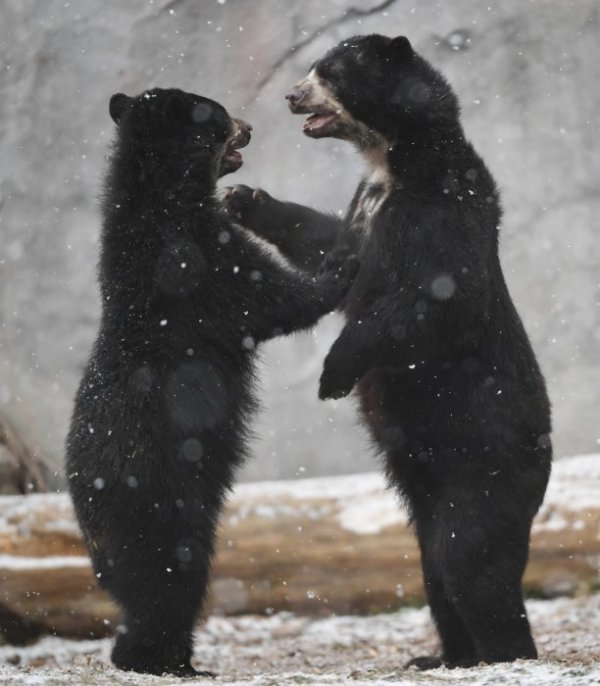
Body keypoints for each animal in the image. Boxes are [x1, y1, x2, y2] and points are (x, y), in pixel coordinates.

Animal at [65, 88, 356, 680]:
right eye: (219, 114)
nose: (249, 126)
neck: (164, 196)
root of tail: (86, 508)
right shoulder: (196, 263)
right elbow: (271, 298)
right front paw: (341, 259)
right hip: (159, 501)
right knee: (170, 581)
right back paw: (162, 661)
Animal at [223, 35, 552, 668]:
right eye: (312, 70)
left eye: (328, 72)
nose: (291, 96)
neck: (392, 158)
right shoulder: (364, 203)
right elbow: (326, 241)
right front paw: (244, 198)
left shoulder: (438, 206)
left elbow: (442, 298)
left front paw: (332, 373)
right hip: (424, 484)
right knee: (433, 568)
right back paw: (443, 656)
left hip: (487, 464)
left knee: (468, 557)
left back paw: (504, 653)